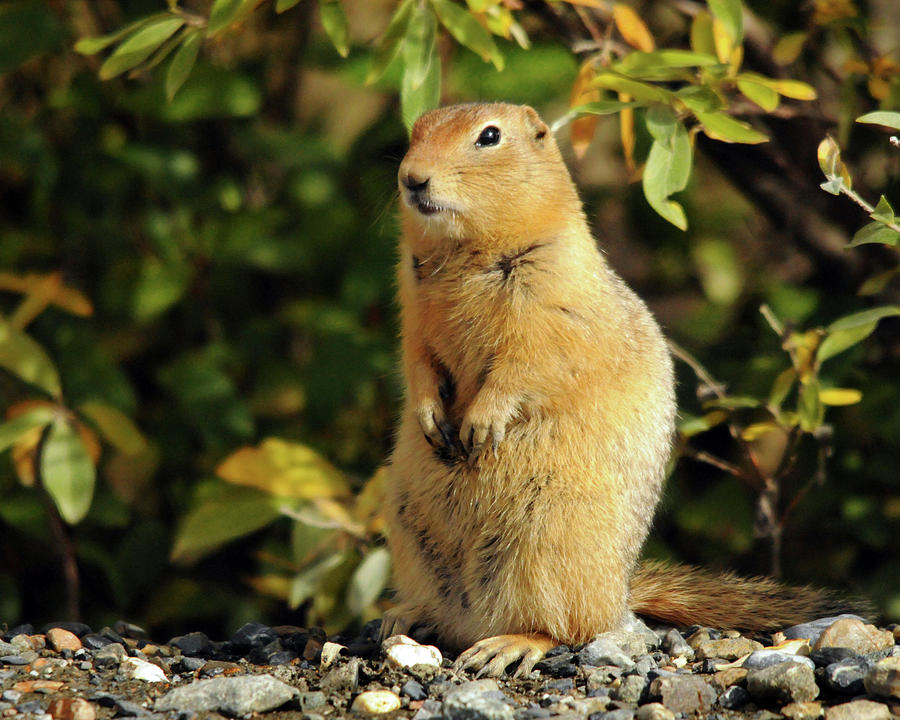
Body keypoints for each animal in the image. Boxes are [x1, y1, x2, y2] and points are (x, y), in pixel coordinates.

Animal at [378, 104, 852, 676]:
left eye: (489, 136)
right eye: (416, 130)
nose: (412, 178)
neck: (463, 252)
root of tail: (620, 594)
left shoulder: (549, 304)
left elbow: (523, 368)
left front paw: (481, 421)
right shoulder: (411, 307)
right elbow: (417, 363)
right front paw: (430, 417)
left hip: (548, 541)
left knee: (570, 629)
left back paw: (509, 644)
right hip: (408, 525)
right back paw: (404, 614)